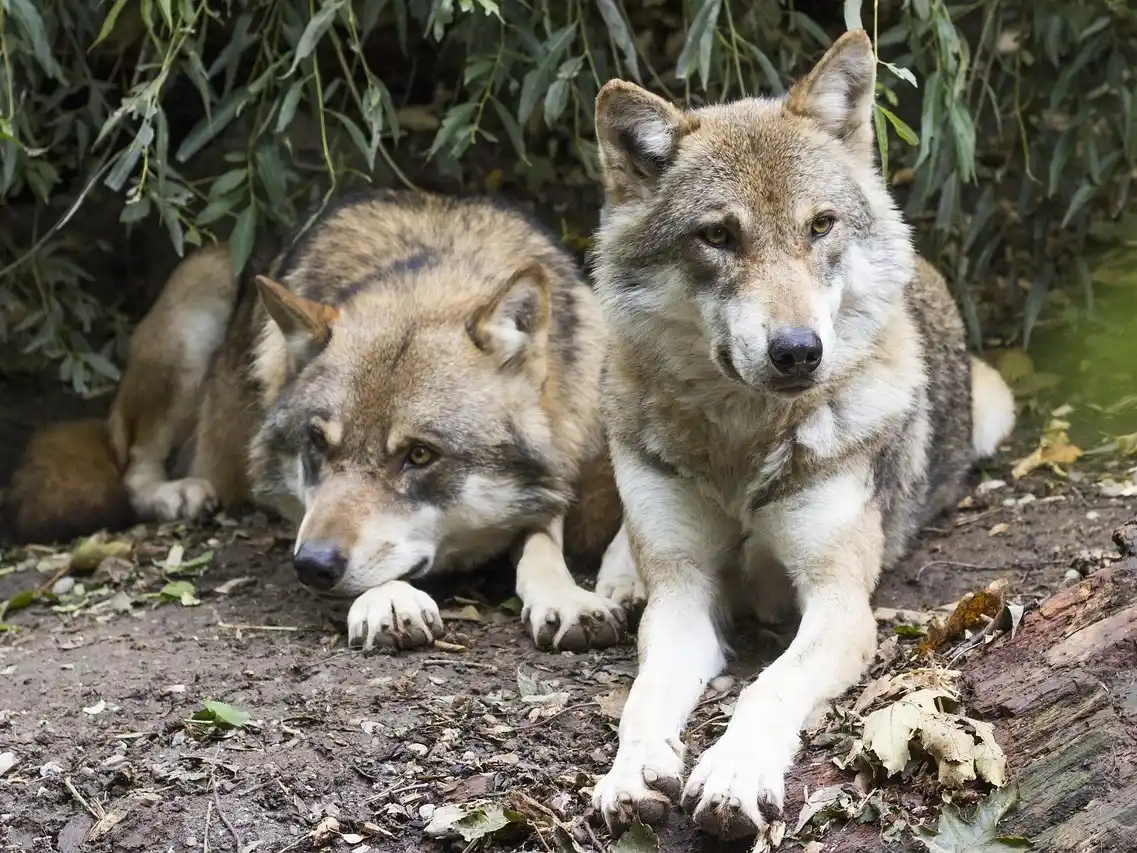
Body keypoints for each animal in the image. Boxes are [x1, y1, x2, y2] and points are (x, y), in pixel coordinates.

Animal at [8, 189, 643, 652]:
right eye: (316, 444)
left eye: (419, 455)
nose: (311, 566)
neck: (432, 270)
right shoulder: (302, 509)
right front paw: (390, 599)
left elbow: (549, 535)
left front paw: (569, 595)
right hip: (199, 301)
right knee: (132, 462)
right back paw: (179, 493)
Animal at [585, 29, 1016, 846]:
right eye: (718, 235)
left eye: (819, 225)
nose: (796, 351)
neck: (740, 445)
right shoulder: (684, 594)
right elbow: (645, 693)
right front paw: (631, 772)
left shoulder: (840, 602)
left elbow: (768, 686)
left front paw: (732, 773)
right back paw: (615, 581)